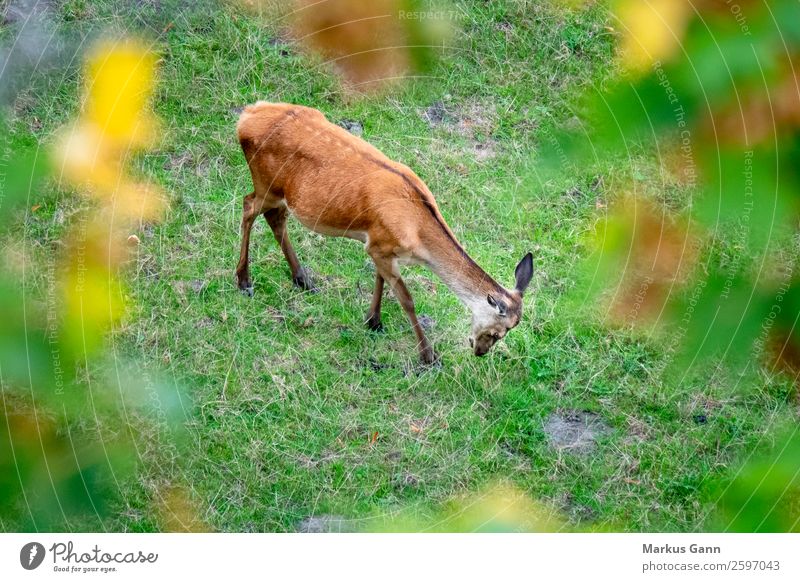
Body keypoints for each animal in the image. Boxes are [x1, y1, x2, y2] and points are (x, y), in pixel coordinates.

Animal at [233, 101, 532, 364]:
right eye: (498, 332)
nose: (479, 351)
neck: (417, 234)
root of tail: (246, 116)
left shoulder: (380, 245)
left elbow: (381, 281)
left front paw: (373, 321)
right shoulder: (380, 246)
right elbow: (406, 299)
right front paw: (428, 356)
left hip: (281, 194)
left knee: (275, 218)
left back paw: (303, 279)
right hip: (266, 184)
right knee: (248, 207)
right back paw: (244, 280)